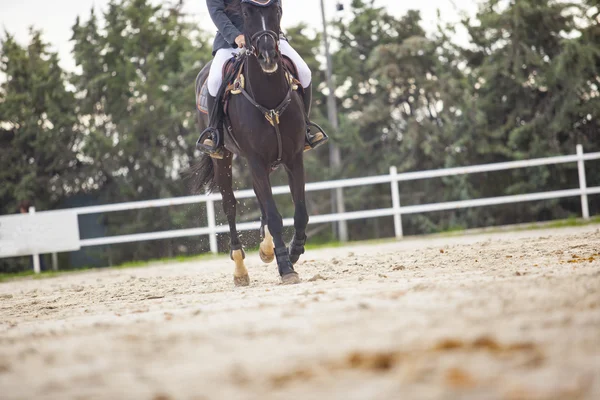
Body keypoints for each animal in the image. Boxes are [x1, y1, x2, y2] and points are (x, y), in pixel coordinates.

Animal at [192, 1, 312, 286]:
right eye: (247, 13)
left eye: (277, 10)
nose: (268, 56)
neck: (269, 98)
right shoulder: (255, 160)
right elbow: (275, 215)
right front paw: (286, 267)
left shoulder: (293, 158)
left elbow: (300, 213)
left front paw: (293, 251)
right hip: (223, 157)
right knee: (230, 205)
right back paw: (240, 269)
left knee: (260, 200)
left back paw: (267, 249)